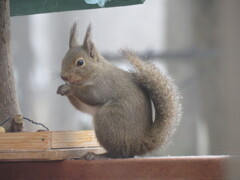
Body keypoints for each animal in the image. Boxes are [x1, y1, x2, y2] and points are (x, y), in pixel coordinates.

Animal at [56, 22, 181, 159]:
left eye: (80, 62)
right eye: (63, 59)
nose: (63, 76)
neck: (95, 72)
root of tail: (137, 144)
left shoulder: (104, 85)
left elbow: (91, 95)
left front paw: (70, 88)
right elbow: (81, 106)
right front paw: (62, 88)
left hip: (108, 119)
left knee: (117, 153)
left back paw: (98, 155)